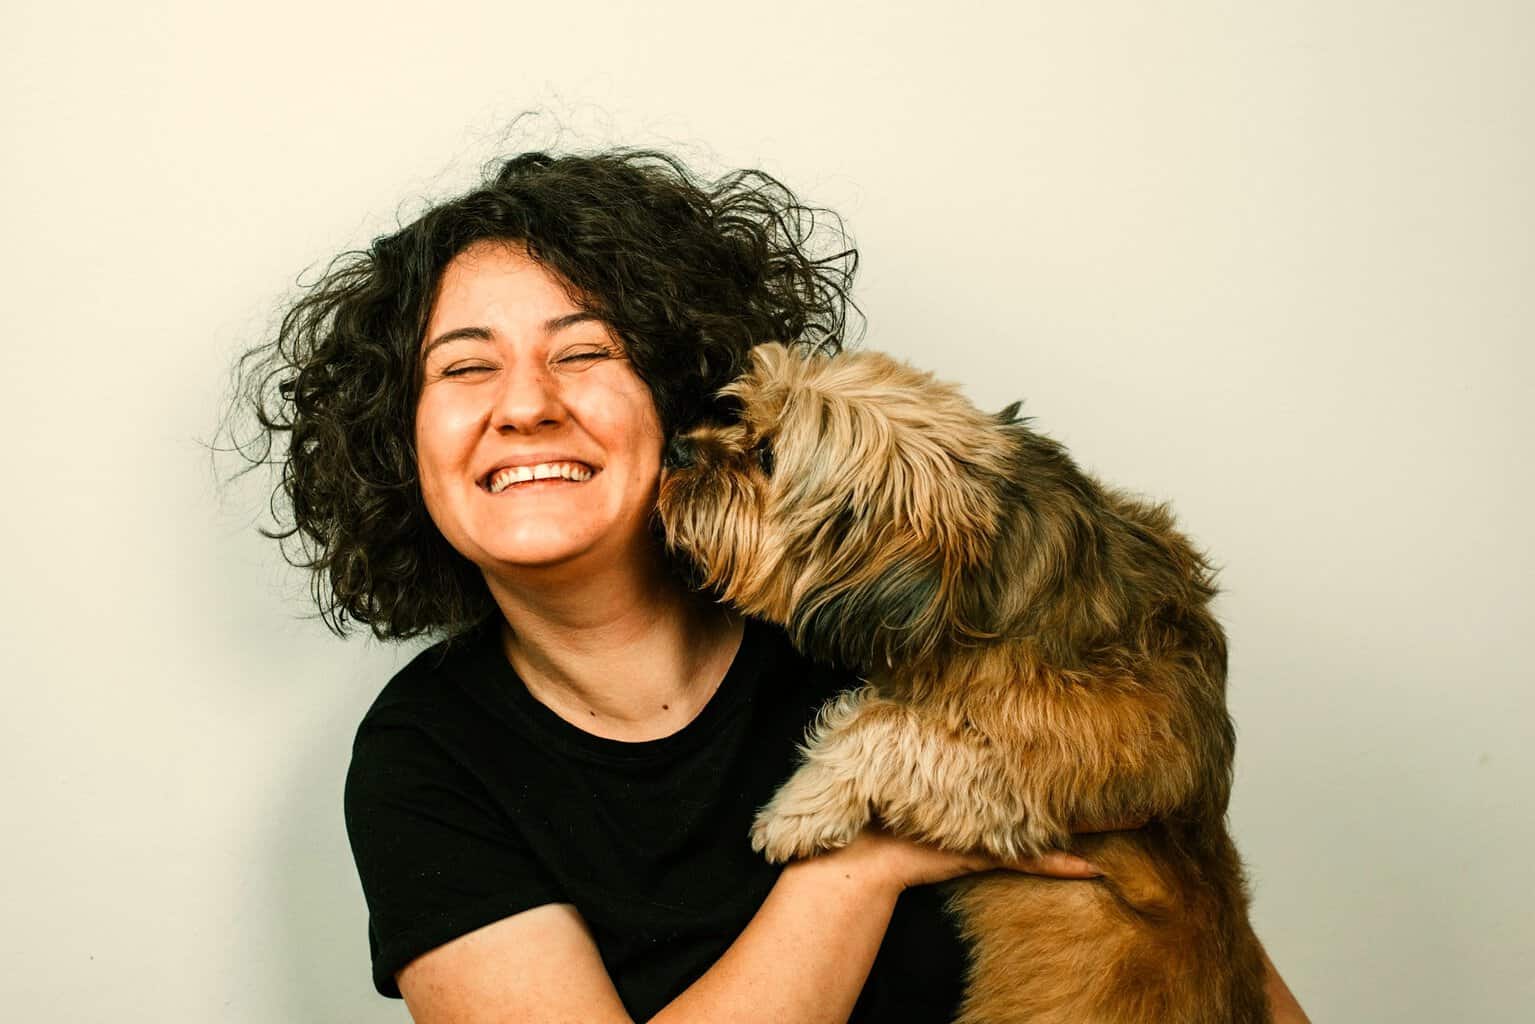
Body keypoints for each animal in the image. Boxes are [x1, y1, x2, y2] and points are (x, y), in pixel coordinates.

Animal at [653, 343, 1264, 1024]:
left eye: (767, 457)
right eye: (739, 413)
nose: (677, 448)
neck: (981, 587)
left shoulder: (1056, 762)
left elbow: (889, 725)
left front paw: (799, 808)